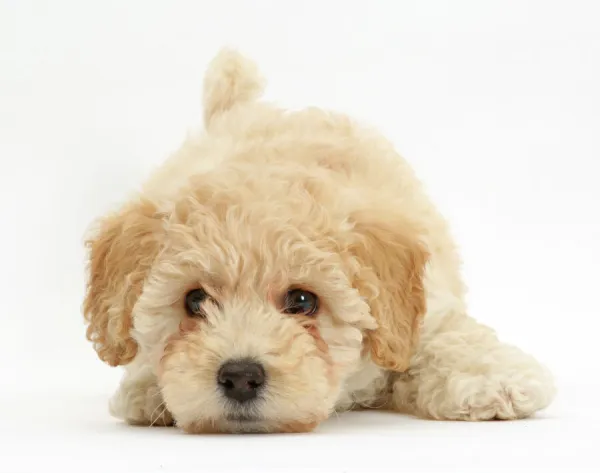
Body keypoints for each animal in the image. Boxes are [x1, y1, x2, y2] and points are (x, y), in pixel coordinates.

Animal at [82, 49, 556, 434]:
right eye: (194, 301)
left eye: (303, 301)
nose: (240, 377)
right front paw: (149, 389)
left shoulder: (429, 310)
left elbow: (452, 337)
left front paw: (493, 381)